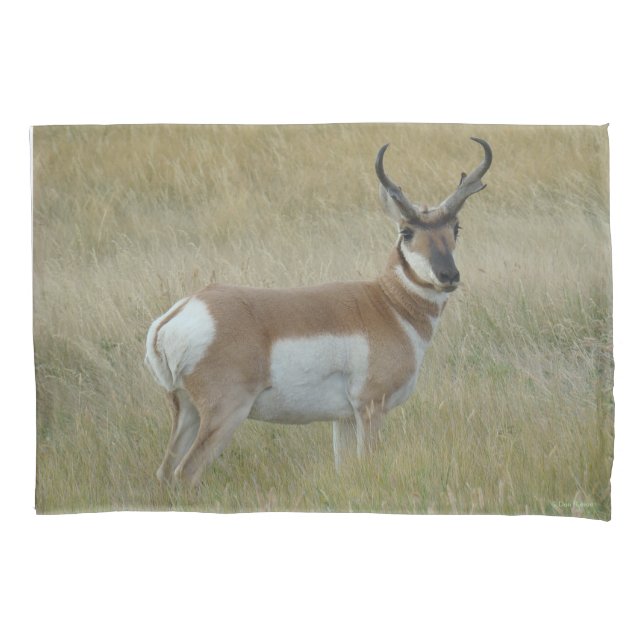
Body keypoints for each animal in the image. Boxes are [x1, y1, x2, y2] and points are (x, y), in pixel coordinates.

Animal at [145, 137, 492, 486]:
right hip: (225, 414)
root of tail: (177, 316)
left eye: (456, 228)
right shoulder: (371, 408)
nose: (448, 275)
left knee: (164, 472)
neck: (387, 305)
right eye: (406, 231)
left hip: (187, 411)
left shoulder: (344, 418)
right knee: (185, 473)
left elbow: (346, 466)